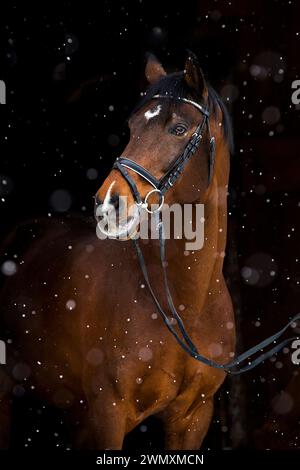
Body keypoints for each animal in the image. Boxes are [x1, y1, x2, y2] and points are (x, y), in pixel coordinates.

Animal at [0, 53, 234, 450]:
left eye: (179, 128)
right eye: (132, 127)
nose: (109, 203)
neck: (184, 304)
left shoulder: (193, 417)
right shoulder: (108, 413)